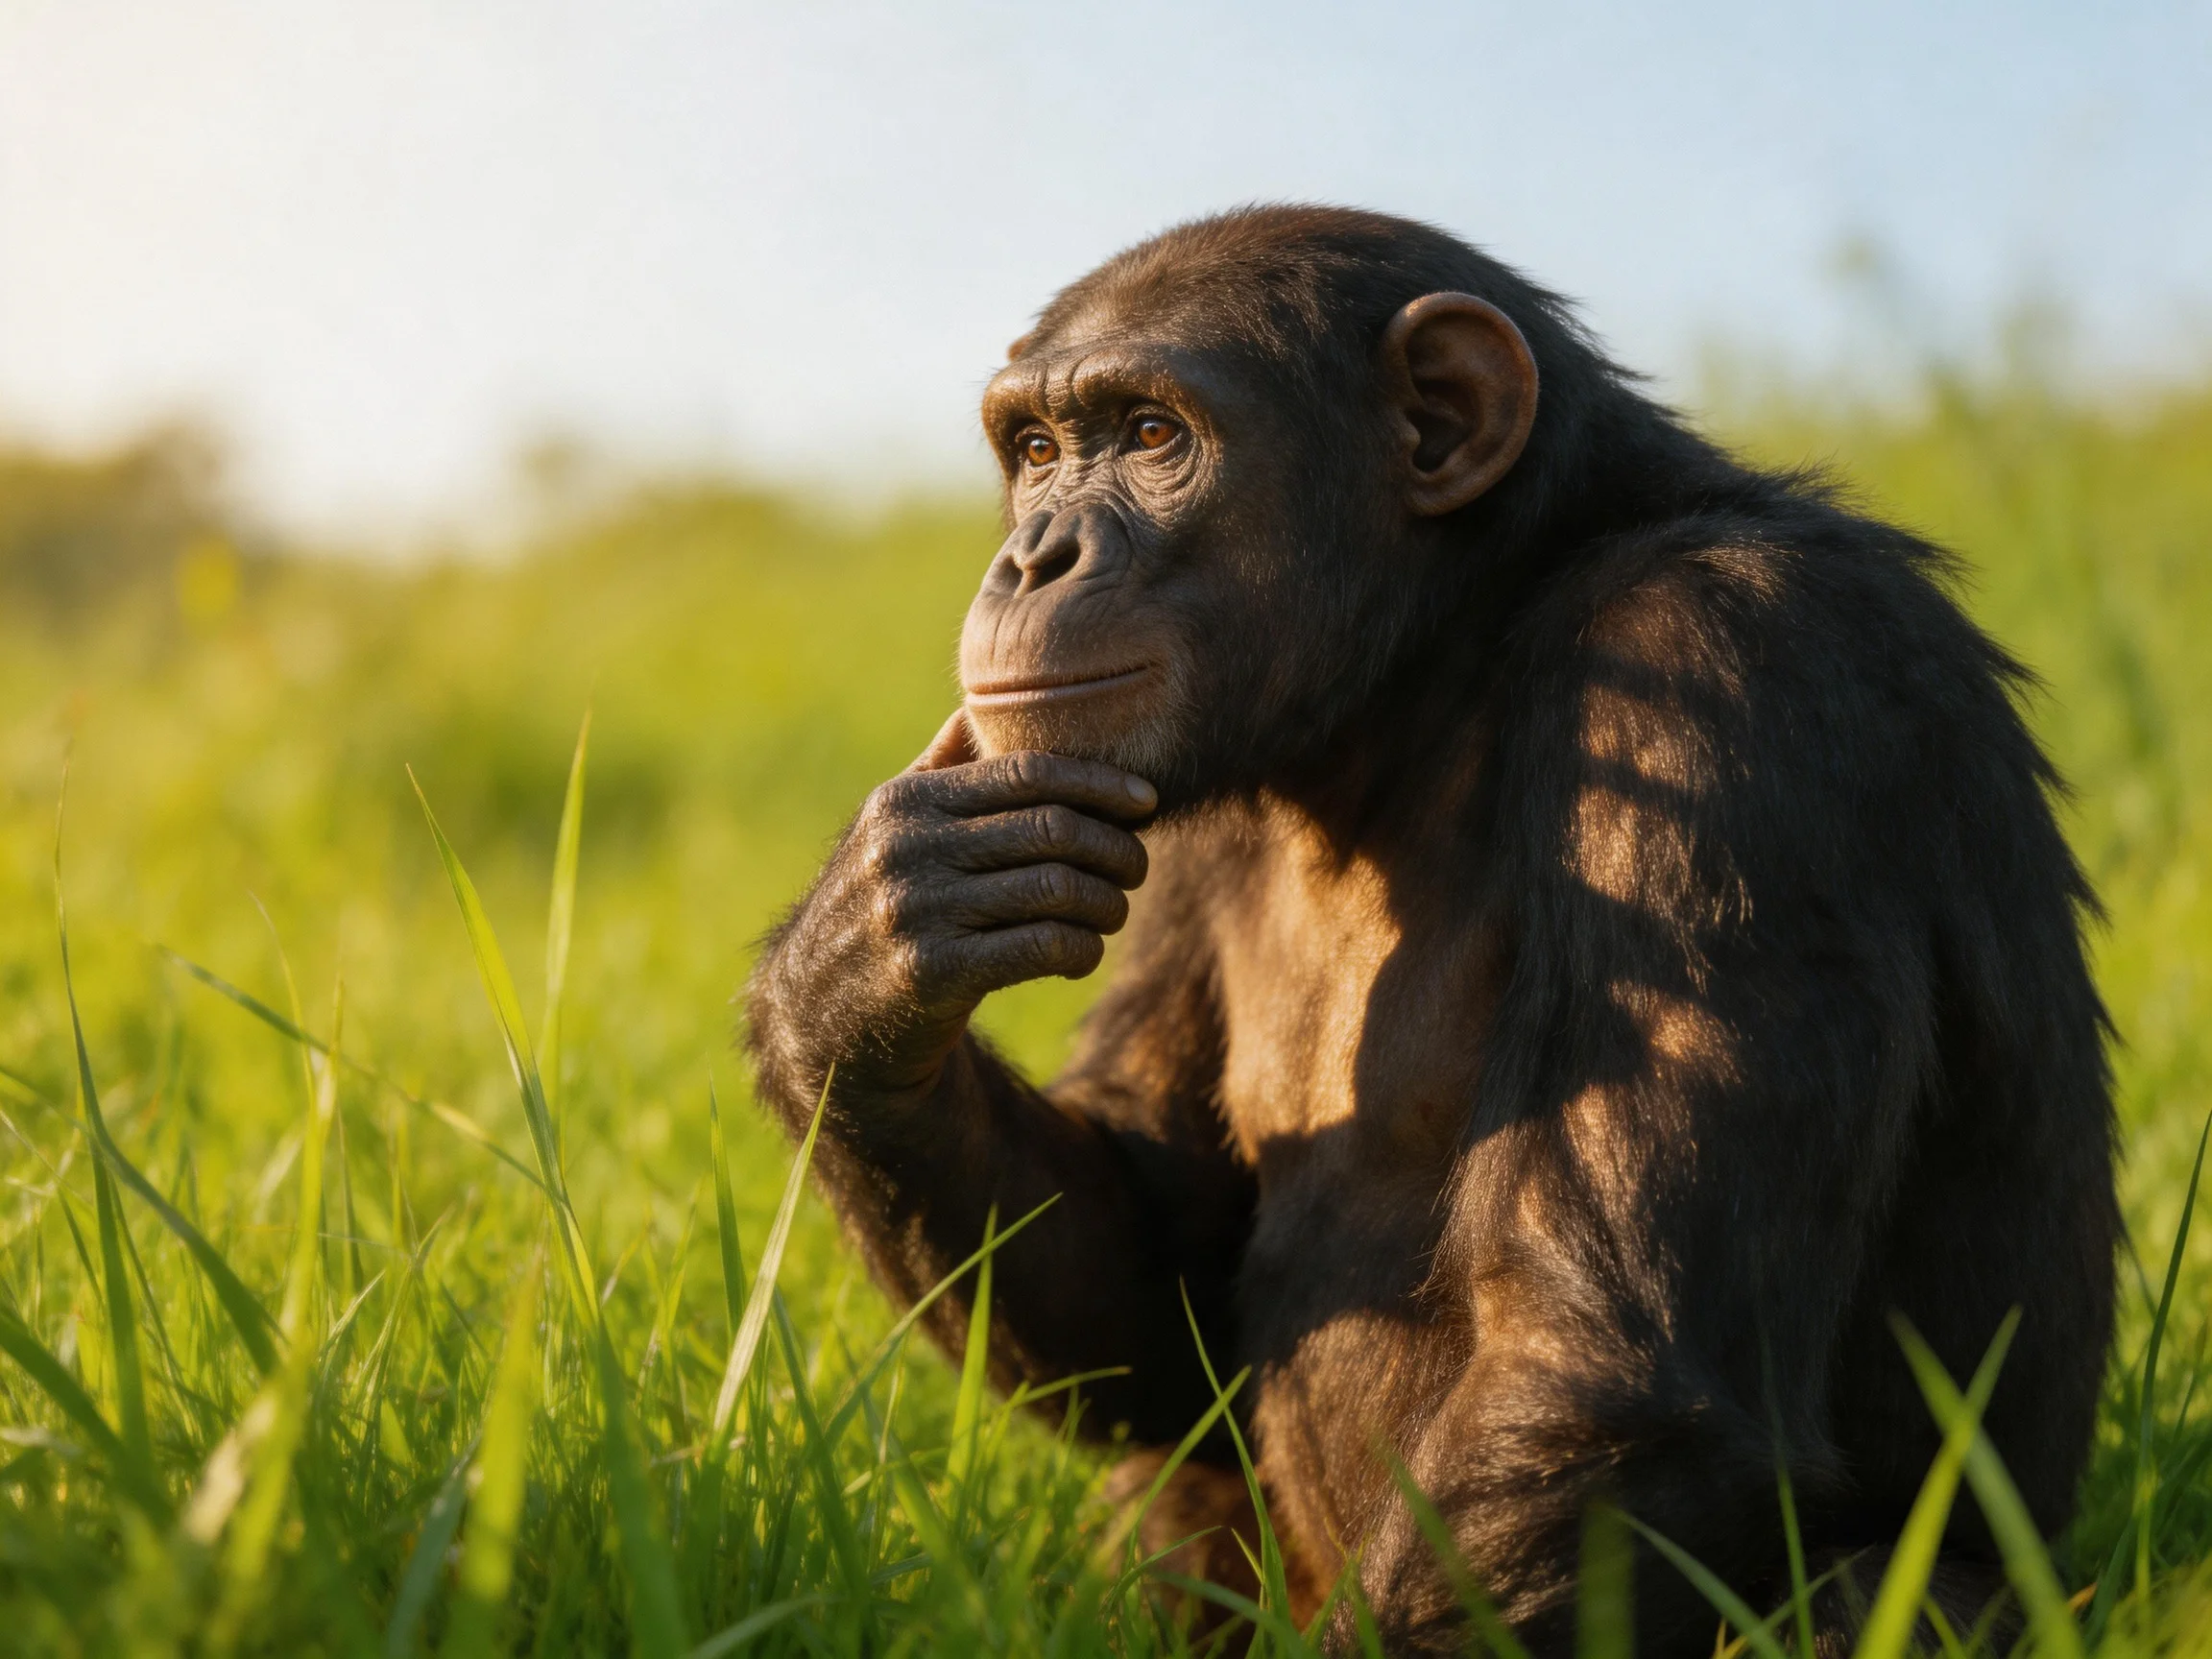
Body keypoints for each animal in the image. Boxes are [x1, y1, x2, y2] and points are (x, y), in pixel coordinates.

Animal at [742, 206, 2118, 1654]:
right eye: (1040, 452)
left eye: (1154, 435)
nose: (1034, 554)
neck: (1432, 672)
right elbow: (1162, 1297)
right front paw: (860, 963)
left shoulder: (1726, 676)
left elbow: (1601, 1375)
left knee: (1874, 1594)